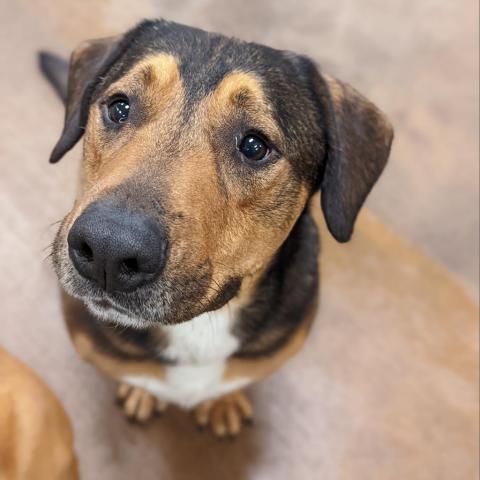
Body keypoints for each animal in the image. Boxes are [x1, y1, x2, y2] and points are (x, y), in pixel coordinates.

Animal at [39, 18, 392, 438]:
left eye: (255, 146)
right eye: (119, 107)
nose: (107, 250)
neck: (198, 326)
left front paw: (223, 401)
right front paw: (142, 392)